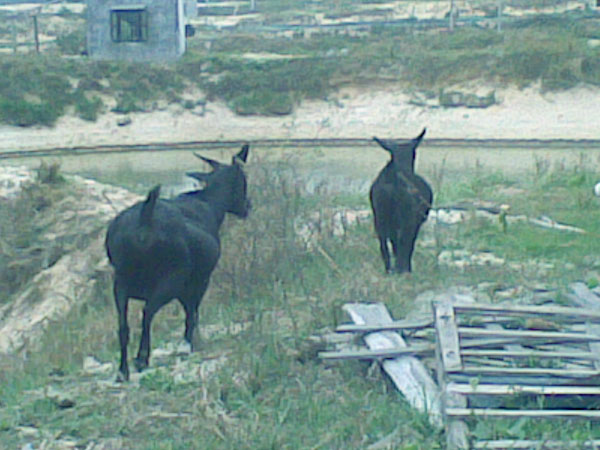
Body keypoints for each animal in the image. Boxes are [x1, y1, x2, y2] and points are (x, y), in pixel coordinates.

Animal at [105, 145, 250, 381]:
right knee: (147, 313)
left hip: (120, 281)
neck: (210, 205)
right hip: (171, 279)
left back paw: (122, 371)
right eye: (243, 181)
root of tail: (146, 219)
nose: (248, 206)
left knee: (123, 325)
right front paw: (192, 343)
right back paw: (141, 359)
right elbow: (192, 314)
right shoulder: (199, 281)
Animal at [369, 129, 432, 274]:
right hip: (406, 219)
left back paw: (390, 270)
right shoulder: (413, 222)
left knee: (385, 246)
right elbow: (407, 244)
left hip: (381, 219)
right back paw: (402, 269)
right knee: (404, 243)